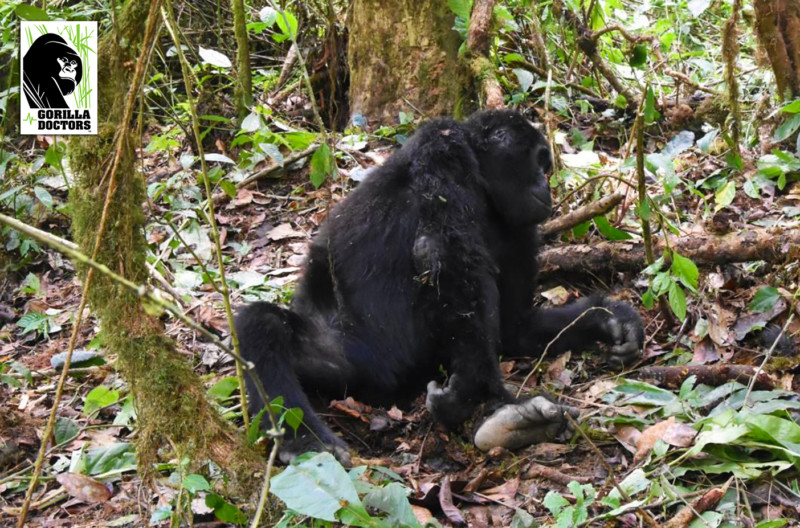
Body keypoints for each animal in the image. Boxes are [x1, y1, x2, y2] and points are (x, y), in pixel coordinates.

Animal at [233, 109, 644, 460]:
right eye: (539, 161)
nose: (547, 186)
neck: (482, 182)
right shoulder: (442, 149)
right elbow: (443, 258)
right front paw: (474, 393)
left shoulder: (520, 227)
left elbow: (515, 327)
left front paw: (608, 318)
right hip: (346, 360)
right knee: (260, 325)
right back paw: (305, 439)